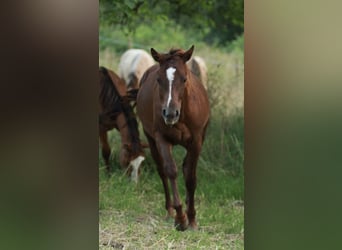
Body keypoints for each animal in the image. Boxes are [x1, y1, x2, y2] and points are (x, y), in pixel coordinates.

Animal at [136, 45, 208, 230]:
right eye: (158, 79)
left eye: (184, 79)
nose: (170, 114)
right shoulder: (161, 139)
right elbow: (171, 171)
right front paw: (180, 218)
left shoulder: (196, 141)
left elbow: (190, 177)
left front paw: (192, 218)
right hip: (151, 139)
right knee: (162, 170)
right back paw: (169, 211)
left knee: (186, 168)